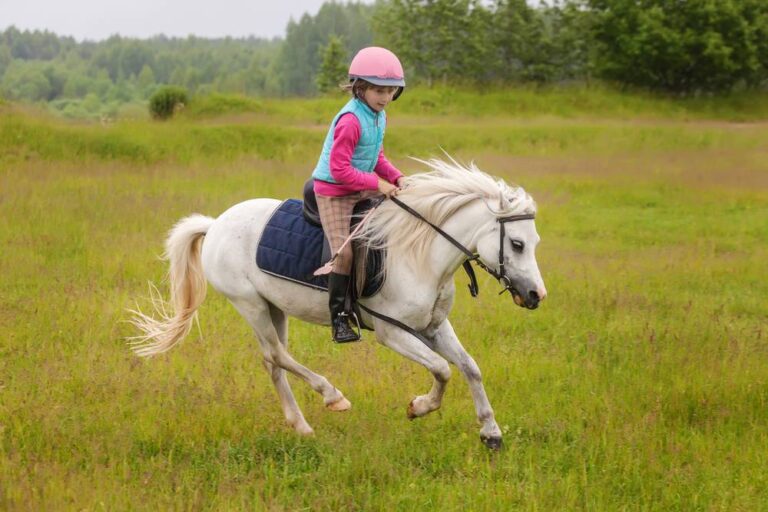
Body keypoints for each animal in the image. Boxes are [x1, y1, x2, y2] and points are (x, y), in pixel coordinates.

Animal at [129, 158, 546, 449]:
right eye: (517, 244)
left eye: (534, 243)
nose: (536, 296)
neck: (421, 253)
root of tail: (215, 224)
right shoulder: (393, 333)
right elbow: (443, 370)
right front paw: (418, 407)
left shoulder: (434, 326)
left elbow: (470, 368)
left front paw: (491, 433)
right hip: (249, 304)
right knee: (278, 355)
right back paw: (333, 397)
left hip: (273, 306)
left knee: (272, 360)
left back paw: (301, 426)